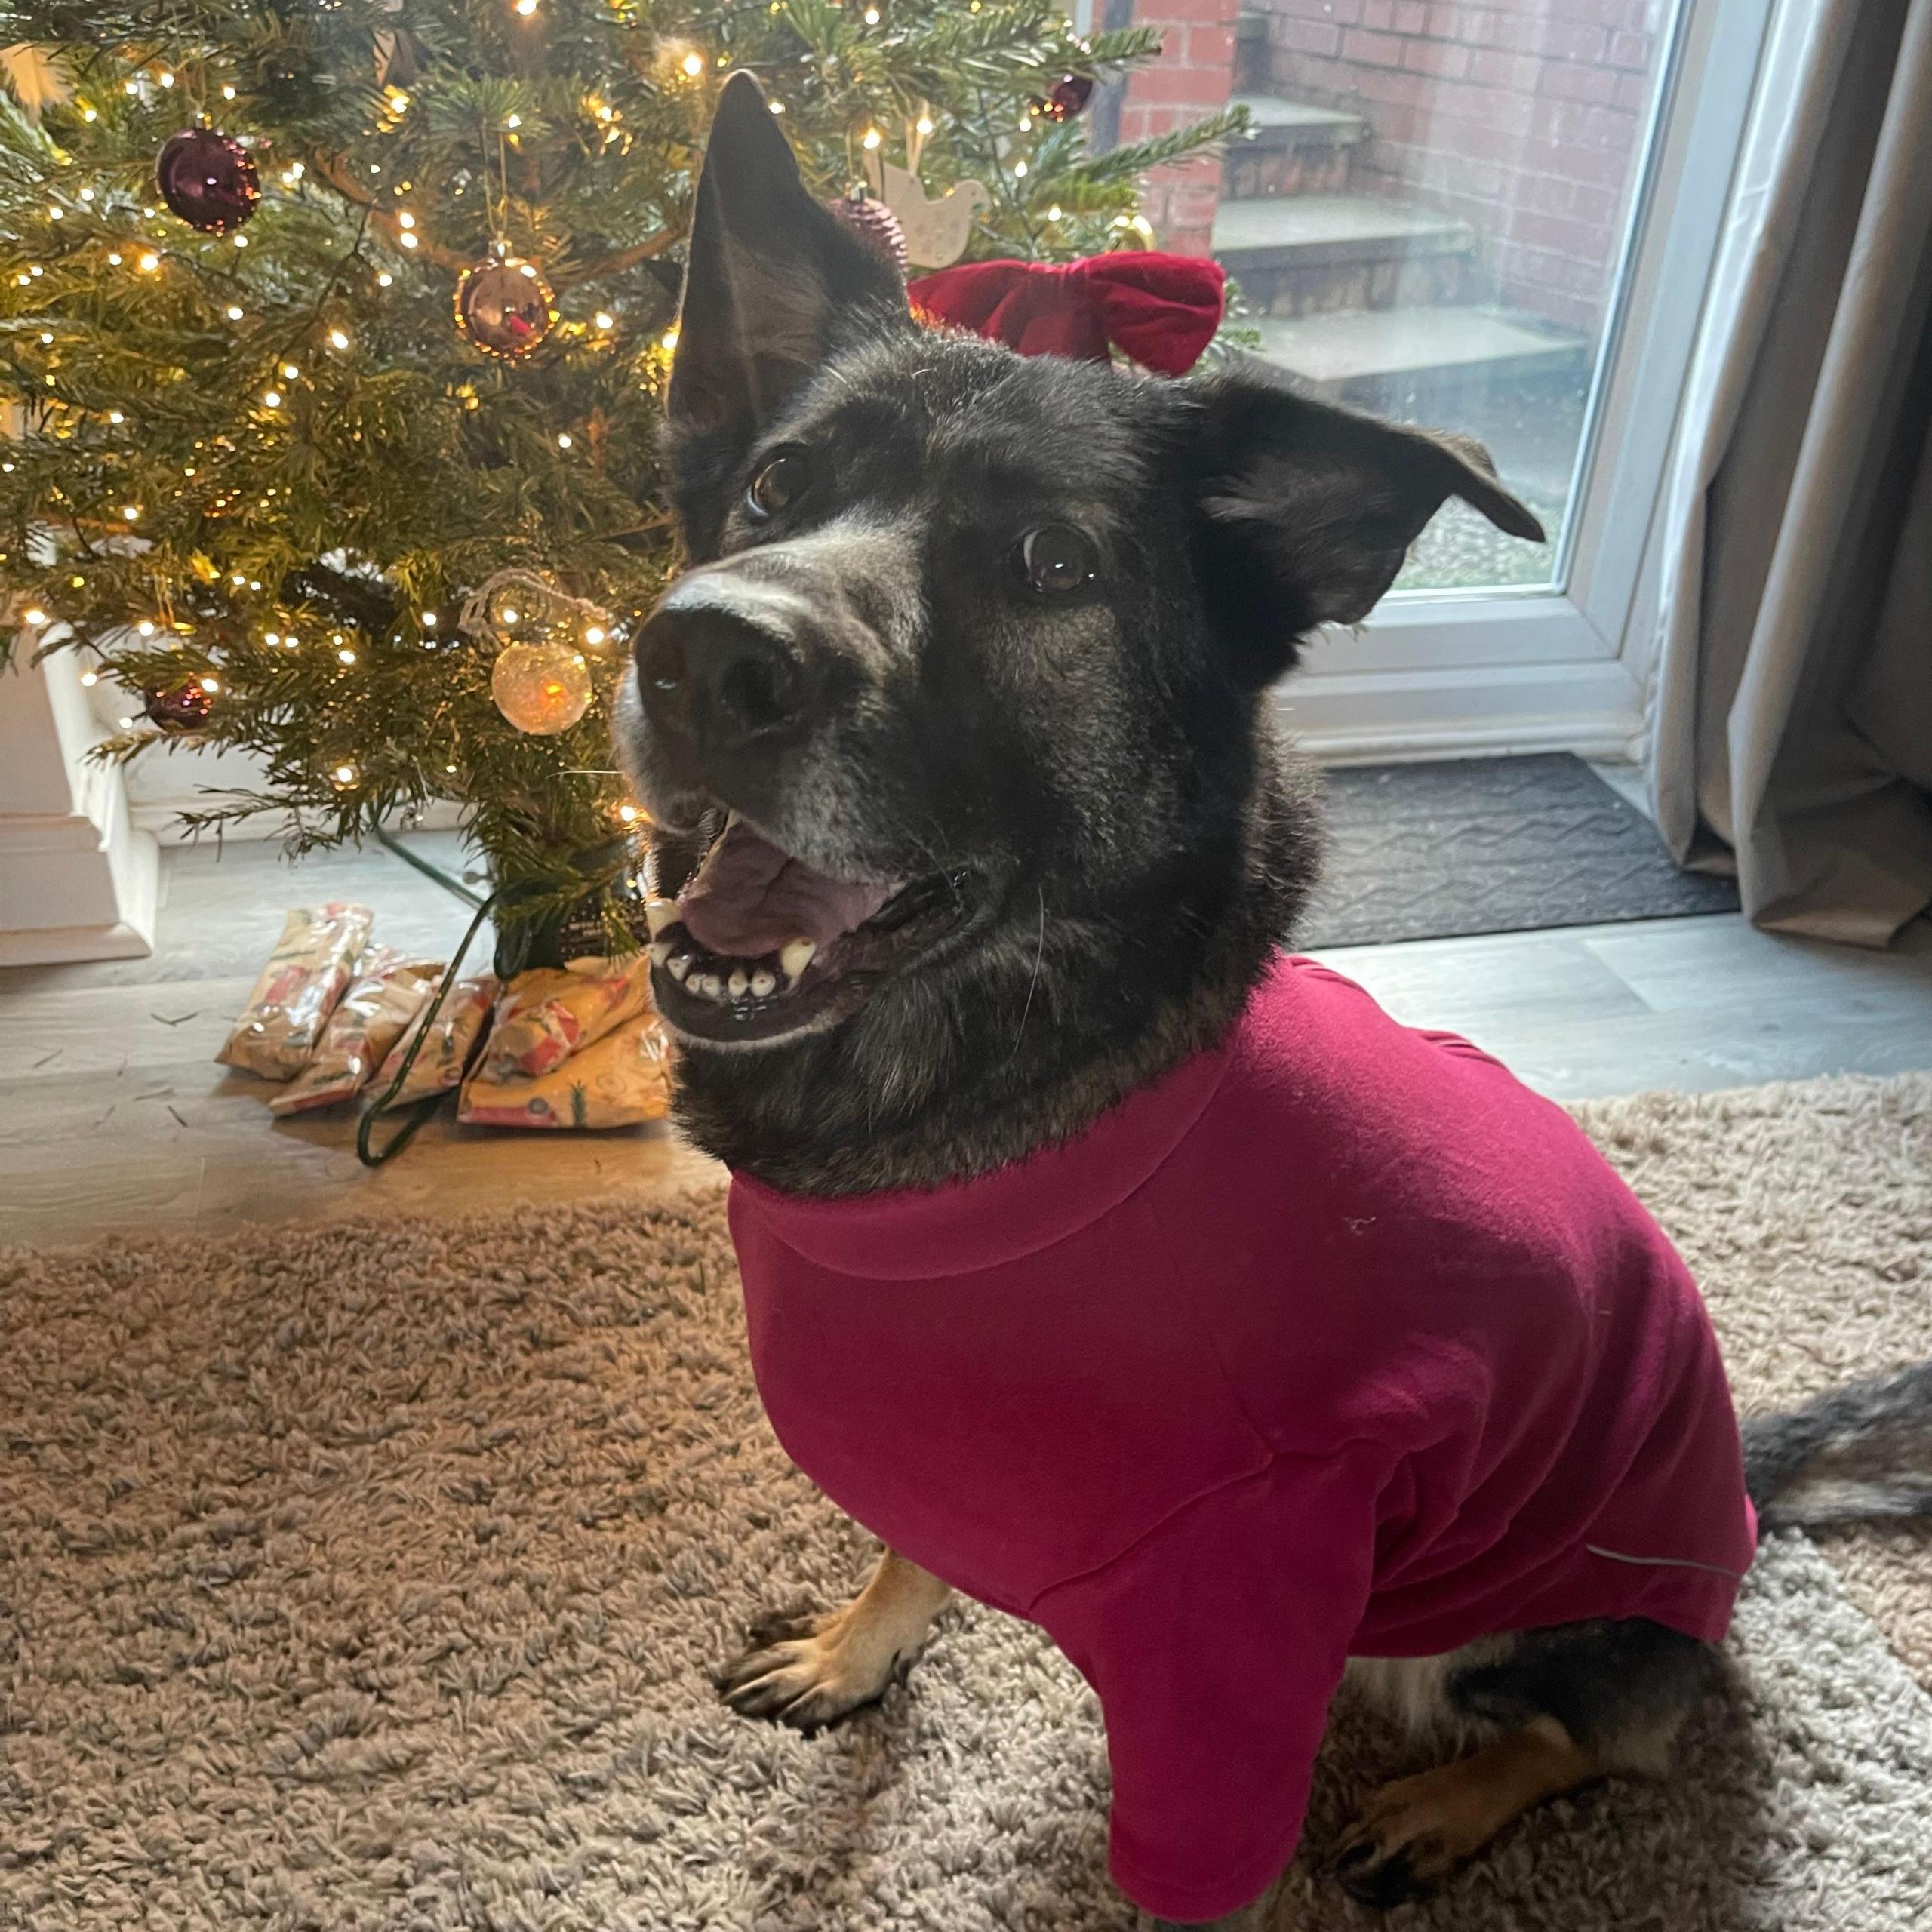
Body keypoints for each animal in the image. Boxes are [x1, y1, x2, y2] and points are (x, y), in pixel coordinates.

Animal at [618, 71, 1932, 1916]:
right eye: (773, 487)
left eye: (1050, 562)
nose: (701, 657)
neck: (1019, 1117)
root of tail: (1738, 1499)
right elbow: (910, 1551)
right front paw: (863, 1645)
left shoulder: (1238, 1628)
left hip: (1489, 1624)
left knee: (1605, 1736)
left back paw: (1446, 1804)